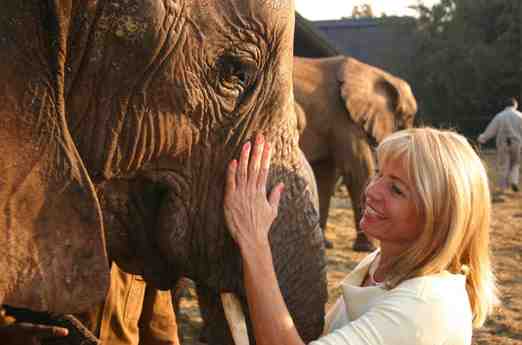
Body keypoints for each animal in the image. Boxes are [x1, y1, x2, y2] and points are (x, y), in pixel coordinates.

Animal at [290, 55, 416, 250]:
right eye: (407, 117)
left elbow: (325, 177)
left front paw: (325, 244)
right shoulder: (343, 118)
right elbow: (357, 171)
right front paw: (369, 248)